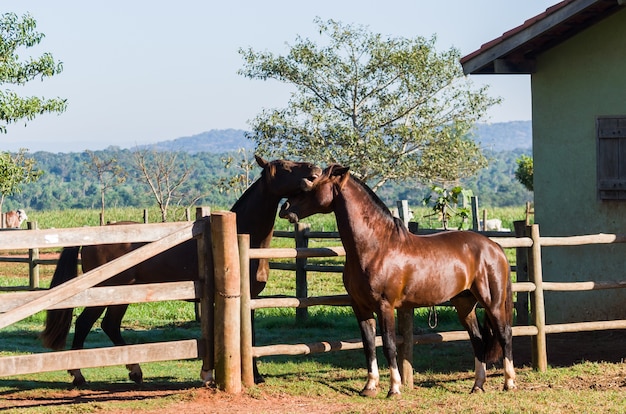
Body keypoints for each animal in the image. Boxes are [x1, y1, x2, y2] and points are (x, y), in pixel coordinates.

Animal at [40, 154, 320, 384]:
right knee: (85, 324)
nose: (314, 170)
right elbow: (246, 337)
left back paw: (135, 371)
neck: (241, 235)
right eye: (284, 167)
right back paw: (79, 375)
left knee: (110, 326)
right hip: (105, 293)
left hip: (122, 296)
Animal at [280, 165, 516, 398]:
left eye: (310, 183)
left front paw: (394, 388)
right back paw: (477, 386)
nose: (285, 208)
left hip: (492, 303)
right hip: (464, 304)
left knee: (504, 335)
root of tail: (494, 246)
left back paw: (509, 383)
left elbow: (389, 345)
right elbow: (368, 345)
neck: (376, 247)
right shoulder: (360, 307)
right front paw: (369, 387)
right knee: (478, 340)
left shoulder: (385, 306)